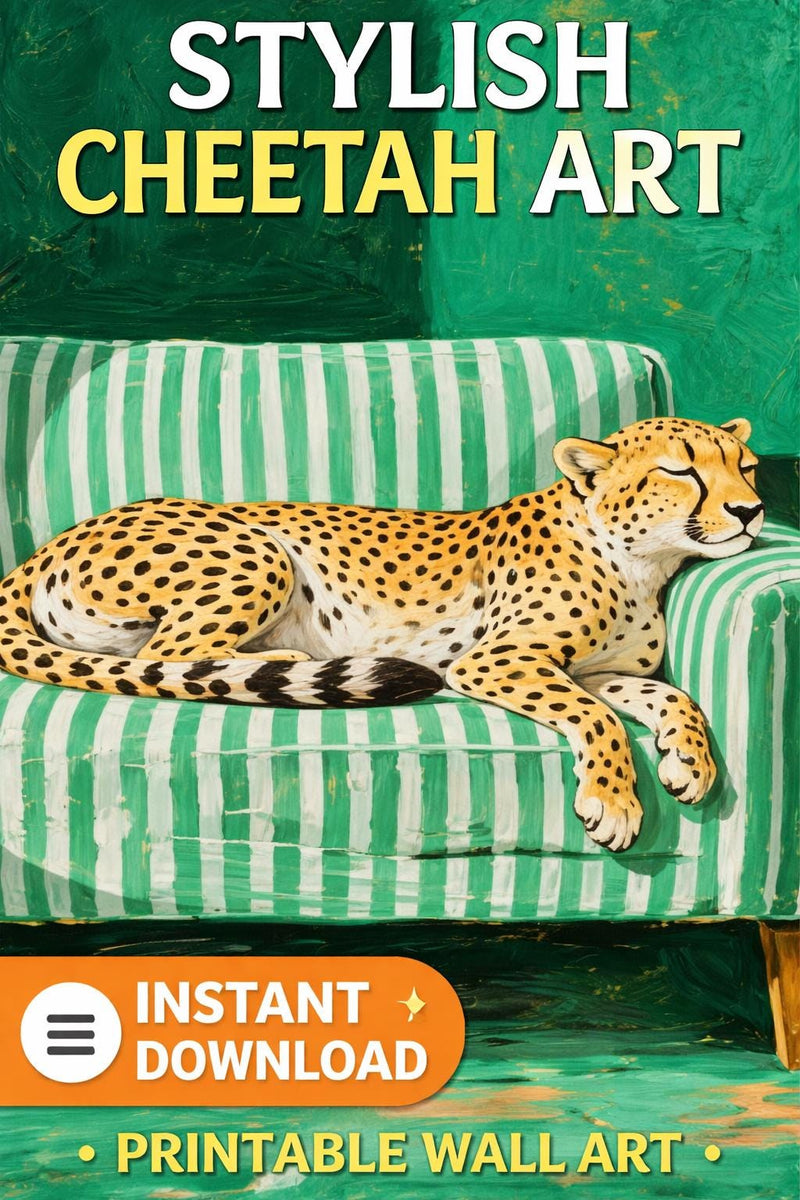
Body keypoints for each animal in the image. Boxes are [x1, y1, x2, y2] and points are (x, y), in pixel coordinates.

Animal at [0, 415, 763, 852]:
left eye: (745, 467)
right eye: (680, 469)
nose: (752, 510)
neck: (640, 558)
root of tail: (59, 537)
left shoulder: (598, 669)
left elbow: (670, 698)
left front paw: (690, 762)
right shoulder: (496, 661)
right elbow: (595, 717)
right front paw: (612, 801)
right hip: (262, 552)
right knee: (170, 659)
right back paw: (281, 659)